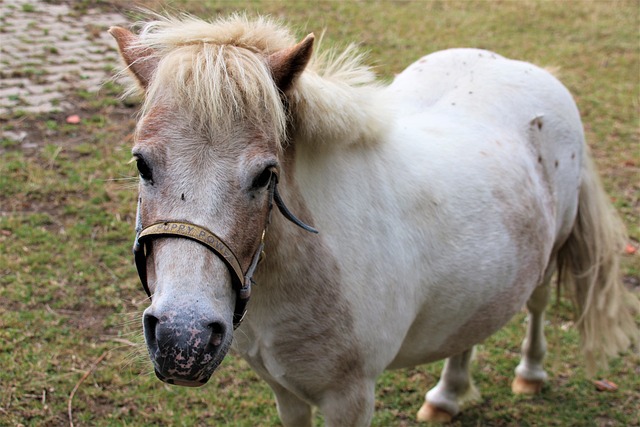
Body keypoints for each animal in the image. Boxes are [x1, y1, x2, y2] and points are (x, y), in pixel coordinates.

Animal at [109, 14, 636, 427]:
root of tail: (531, 70)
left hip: (550, 254)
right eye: (142, 164)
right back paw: (447, 397)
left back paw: (530, 374)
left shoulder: (351, 399)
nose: (183, 339)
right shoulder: (285, 393)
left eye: (266, 175)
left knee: (538, 305)